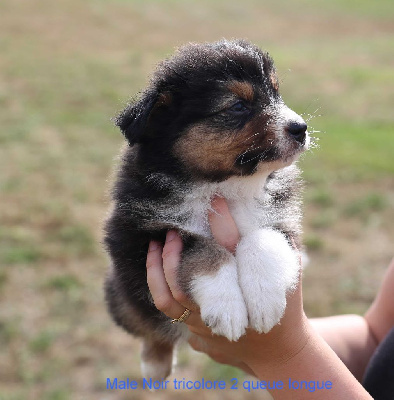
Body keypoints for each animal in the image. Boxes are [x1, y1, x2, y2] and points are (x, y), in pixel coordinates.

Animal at [103, 39, 310, 380]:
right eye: (238, 106)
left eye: (277, 94)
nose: (301, 128)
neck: (226, 187)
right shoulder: (139, 235)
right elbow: (202, 248)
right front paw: (227, 307)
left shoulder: (284, 217)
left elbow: (261, 237)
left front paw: (264, 301)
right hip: (118, 293)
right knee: (152, 329)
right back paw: (155, 365)